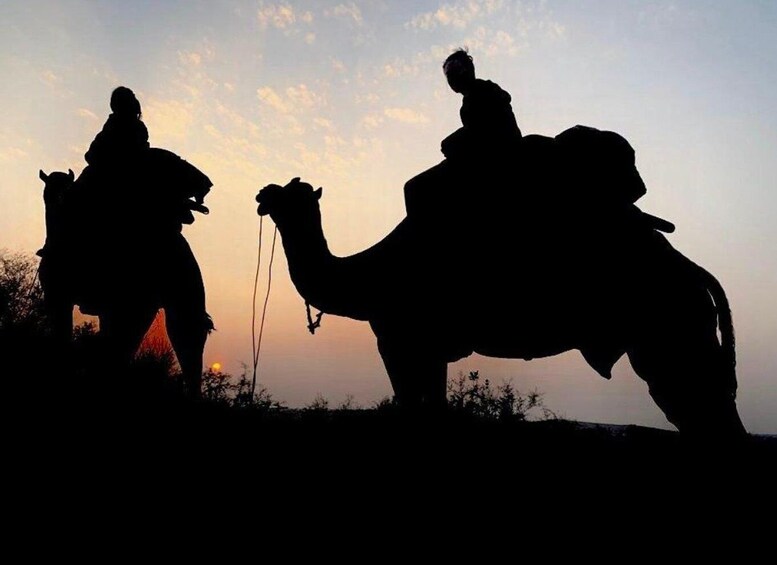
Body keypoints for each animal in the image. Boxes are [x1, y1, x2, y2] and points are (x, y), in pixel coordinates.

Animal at [258, 131, 748, 436]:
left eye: (290, 193)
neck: (369, 272)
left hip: (669, 324)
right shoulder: (427, 346)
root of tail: (695, 272)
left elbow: (414, 407)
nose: (261, 193)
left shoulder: (401, 338)